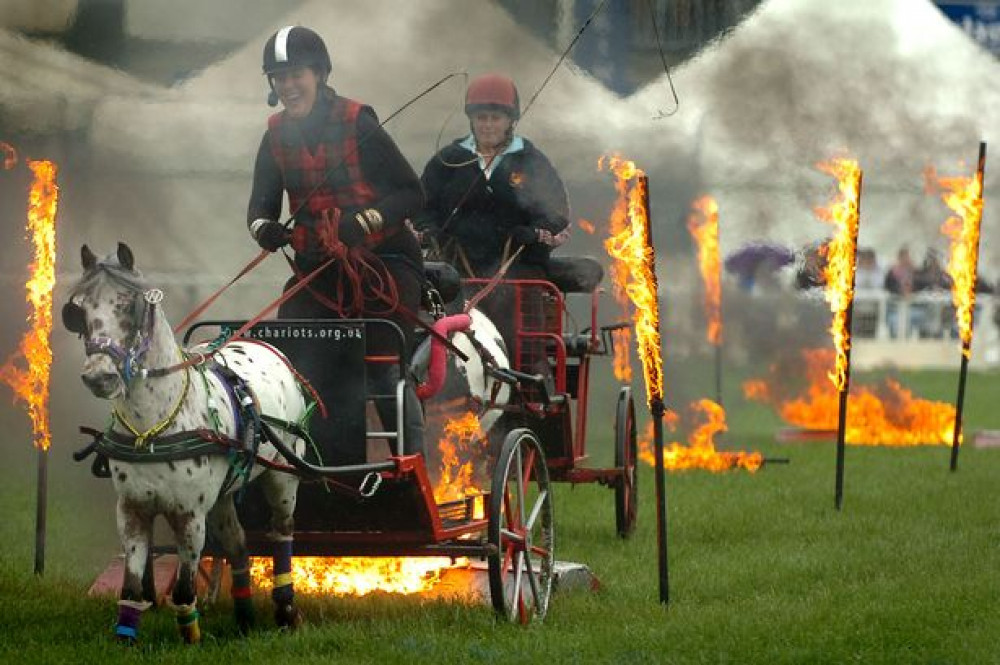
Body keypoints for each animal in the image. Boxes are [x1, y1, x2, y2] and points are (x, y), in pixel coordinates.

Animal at [64, 245, 306, 644]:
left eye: (129, 305)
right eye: (78, 310)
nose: (99, 377)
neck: (151, 431)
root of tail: (266, 346)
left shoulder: (189, 515)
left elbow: (182, 590)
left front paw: (190, 639)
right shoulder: (132, 511)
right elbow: (131, 588)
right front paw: (124, 639)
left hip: (283, 477)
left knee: (282, 531)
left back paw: (286, 611)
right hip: (224, 494)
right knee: (238, 544)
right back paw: (244, 619)